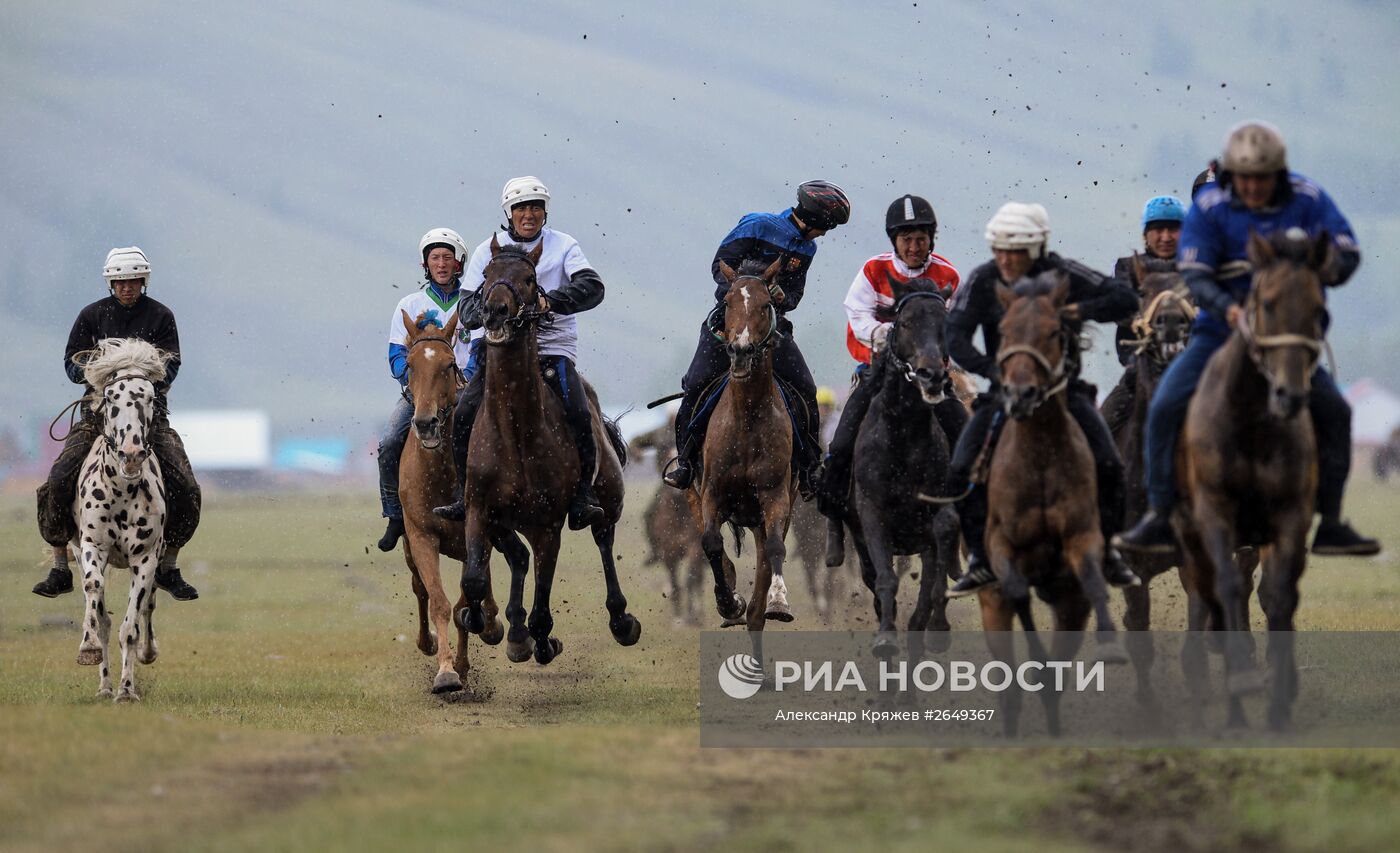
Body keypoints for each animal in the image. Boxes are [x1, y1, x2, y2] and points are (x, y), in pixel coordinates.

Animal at [70, 336, 172, 703]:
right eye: (112, 397)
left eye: (151, 397)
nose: (131, 454)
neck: (122, 489)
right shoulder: (92, 546)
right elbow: (95, 592)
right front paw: (88, 648)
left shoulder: (145, 558)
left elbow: (131, 626)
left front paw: (127, 691)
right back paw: (103, 687)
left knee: (149, 605)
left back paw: (146, 653)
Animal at [453, 238, 641, 666]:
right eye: (485, 274)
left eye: (529, 278)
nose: (495, 311)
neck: (514, 433)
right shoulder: (479, 510)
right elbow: (474, 578)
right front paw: (478, 619)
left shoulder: (548, 524)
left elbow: (543, 602)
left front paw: (544, 641)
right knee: (520, 560)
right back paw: (515, 631)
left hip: (607, 500)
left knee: (604, 540)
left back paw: (621, 620)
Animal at [691, 256, 800, 655]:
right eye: (728, 303)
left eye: (766, 305)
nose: (740, 351)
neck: (748, 416)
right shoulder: (710, 492)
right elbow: (710, 543)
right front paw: (727, 601)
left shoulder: (775, 497)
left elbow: (775, 548)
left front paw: (778, 601)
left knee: (766, 556)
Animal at [985, 274, 1125, 739]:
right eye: (1004, 331)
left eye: (1051, 332)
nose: (1021, 394)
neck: (1040, 457)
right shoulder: (1000, 546)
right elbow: (1016, 592)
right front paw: (1036, 662)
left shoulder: (1082, 537)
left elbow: (1094, 579)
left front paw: (1110, 645)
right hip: (991, 604)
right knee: (1007, 681)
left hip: (1068, 602)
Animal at [1176, 229, 1327, 728]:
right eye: (1268, 304)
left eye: (1319, 310)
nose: (1289, 395)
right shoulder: (1211, 518)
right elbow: (1224, 588)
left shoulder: (1286, 518)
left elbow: (1275, 593)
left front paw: (1279, 690)